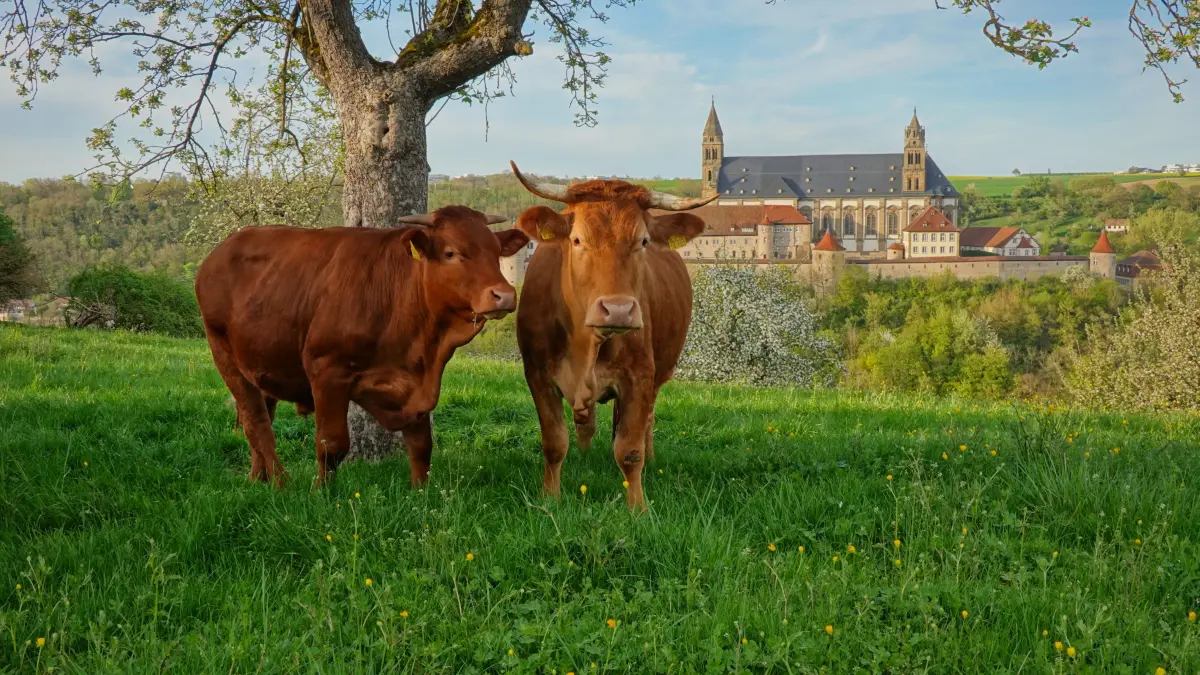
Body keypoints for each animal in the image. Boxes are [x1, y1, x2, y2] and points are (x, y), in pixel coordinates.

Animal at [194, 206, 529, 487]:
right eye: (450, 252)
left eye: (496, 252)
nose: (504, 295)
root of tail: (219, 252)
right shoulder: (327, 371)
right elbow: (332, 444)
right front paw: (321, 493)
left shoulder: (419, 381)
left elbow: (421, 445)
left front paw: (421, 494)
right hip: (224, 354)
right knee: (257, 423)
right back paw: (281, 483)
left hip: (262, 361)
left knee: (261, 415)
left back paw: (258, 478)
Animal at [509, 162, 715, 510]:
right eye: (577, 240)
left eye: (643, 241)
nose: (618, 310)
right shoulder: (537, 373)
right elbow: (554, 442)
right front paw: (550, 498)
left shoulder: (640, 375)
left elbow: (629, 449)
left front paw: (637, 508)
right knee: (586, 422)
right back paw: (584, 457)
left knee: (646, 423)